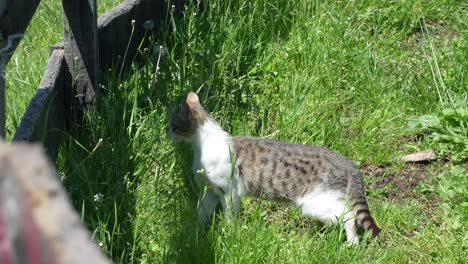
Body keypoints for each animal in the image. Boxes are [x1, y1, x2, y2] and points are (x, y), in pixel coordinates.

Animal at [168, 92, 380, 244]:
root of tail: (347, 161)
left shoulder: (230, 192)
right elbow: (201, 213)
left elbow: (229, 217)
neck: (201, 146)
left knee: (348, 214)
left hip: (314, 201)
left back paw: (352, 242)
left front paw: (229, 234)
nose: (167, 131)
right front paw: (195, 233)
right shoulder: (210, 191)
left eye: (173, 123)